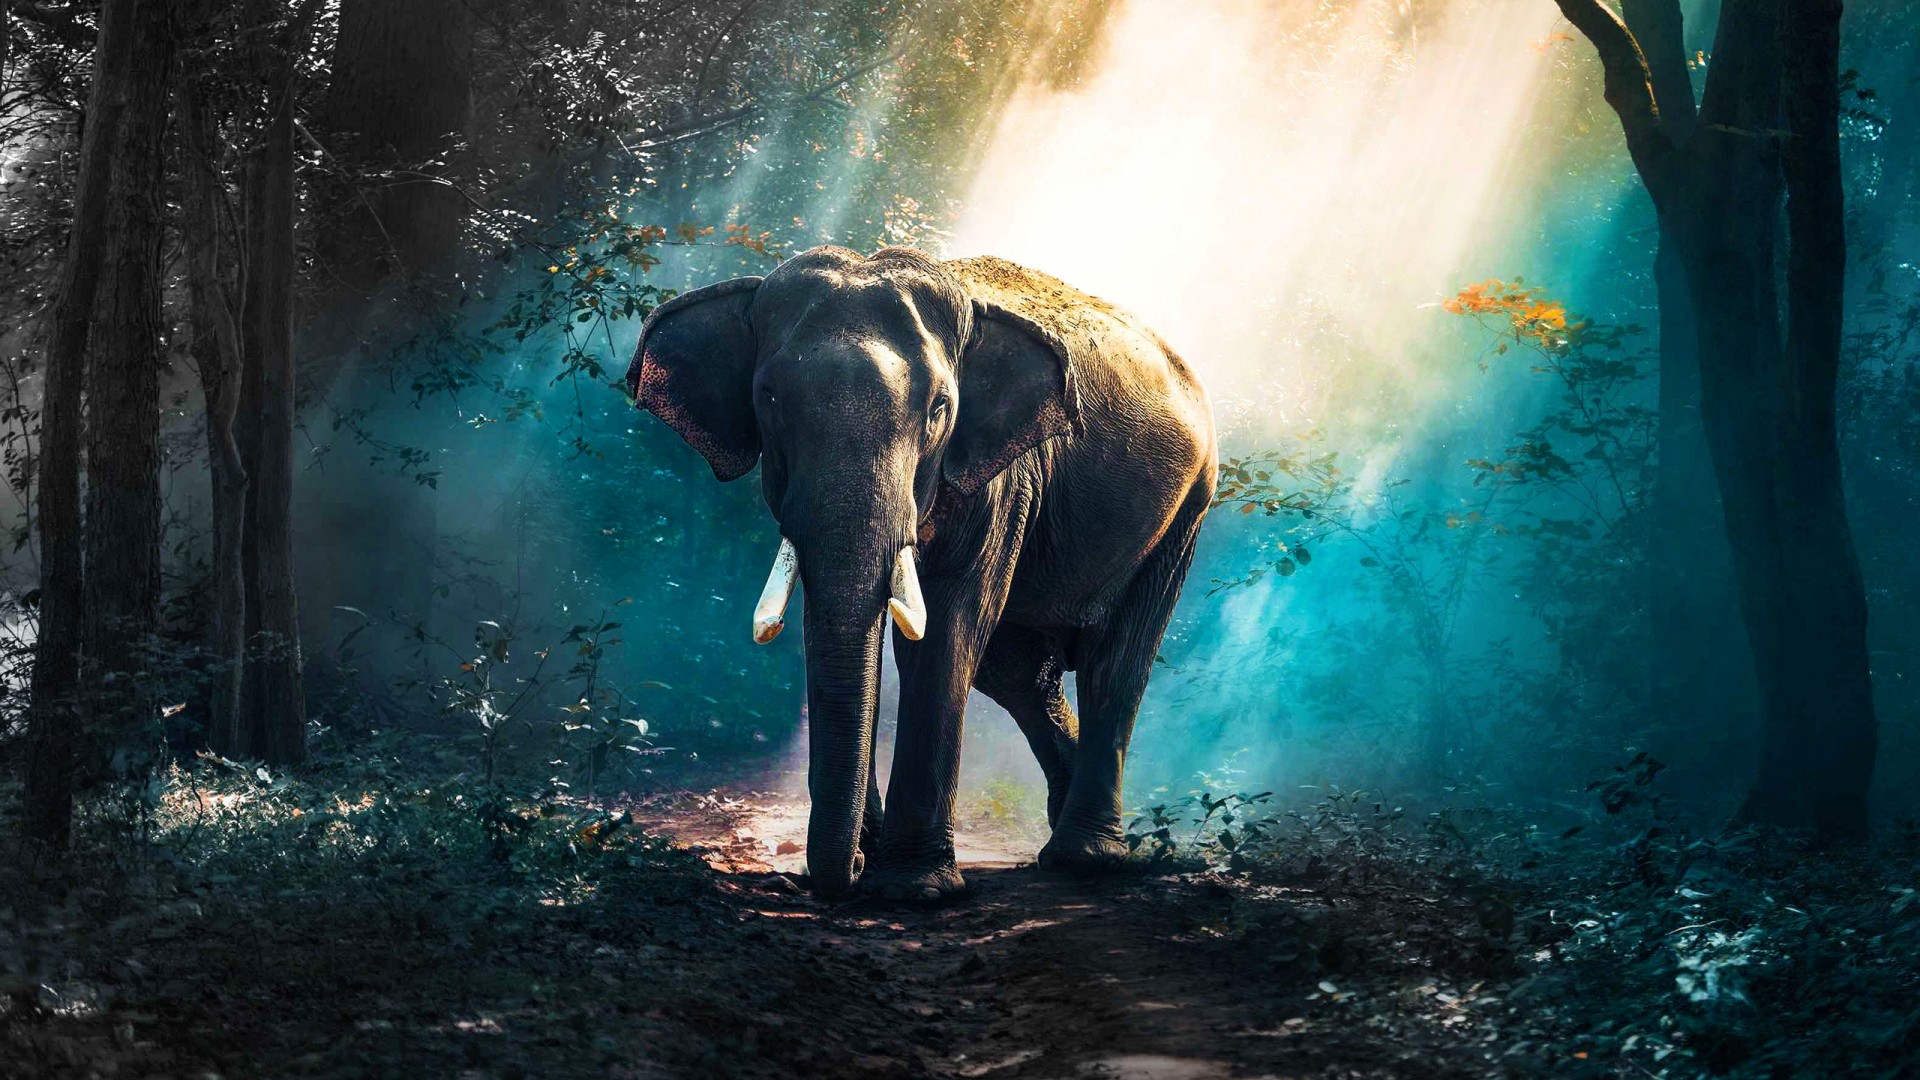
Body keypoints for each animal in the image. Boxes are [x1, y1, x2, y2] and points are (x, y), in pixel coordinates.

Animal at [627, 245, 1215, 900]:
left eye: (939, 408)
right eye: (770, 399)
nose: (850, 870)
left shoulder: (1001, 479)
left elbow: (946, 632)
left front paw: (914, 889)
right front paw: (875, 858)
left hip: (1185, 510)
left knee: (1114, 666)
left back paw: (1089, 858)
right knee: (1018, 673)